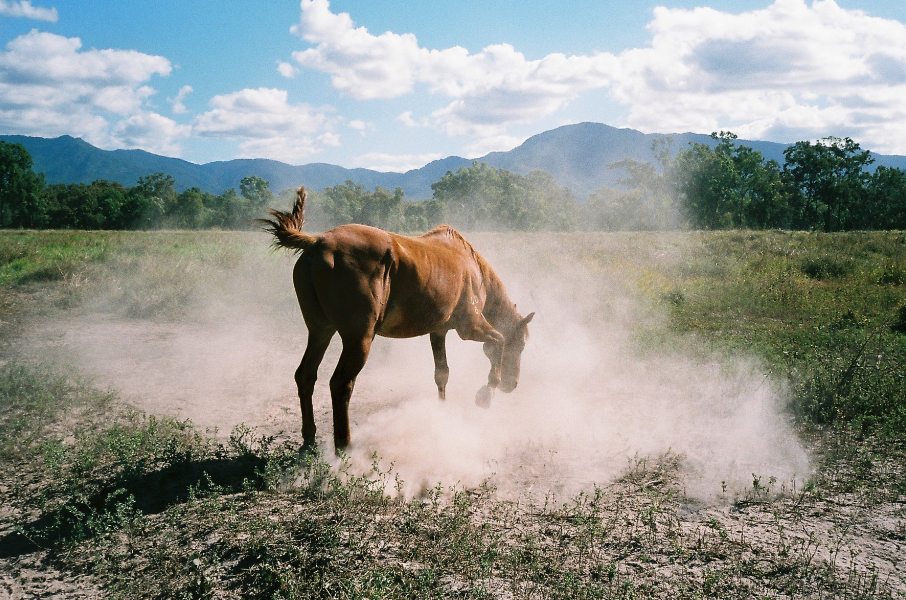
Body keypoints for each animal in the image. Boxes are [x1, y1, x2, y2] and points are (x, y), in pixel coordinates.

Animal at [258, 186, 532, 450]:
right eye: (521, 344)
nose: (512, 384)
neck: (471, 266)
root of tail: (317, 242)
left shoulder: (438, 332)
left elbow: (442, 373)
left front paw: (442, 413)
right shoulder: (471, 328)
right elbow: (498, 341)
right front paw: (486, 393)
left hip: (320, 332)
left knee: (306, 376)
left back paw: (309, 440)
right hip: (359, 340)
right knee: (341, 384)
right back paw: (344, 446)